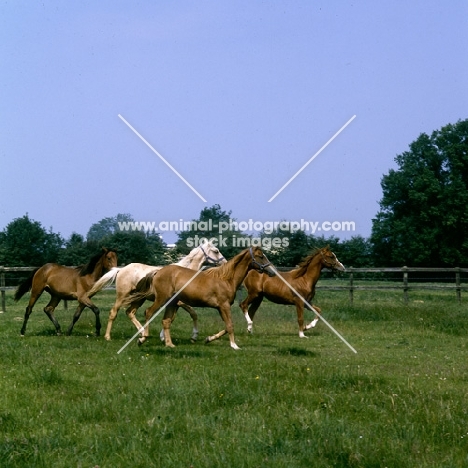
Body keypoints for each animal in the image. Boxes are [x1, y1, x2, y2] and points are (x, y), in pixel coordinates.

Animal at [88, 241, 229, 340]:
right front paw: (193, 336)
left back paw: (142, 333)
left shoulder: (175, 303)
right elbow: (192, 314)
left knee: (130, 312)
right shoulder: (181, 302)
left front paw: (163, 337)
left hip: (139, 298)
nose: (225, 263)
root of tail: (121, 269)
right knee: (114, 312)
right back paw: (108, 337)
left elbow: (171, 318)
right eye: (216, 251)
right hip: (122, 296)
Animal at [126, 247, 276, 350]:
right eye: (260, 256)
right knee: (149, 312)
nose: (272, 272)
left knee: (166, 321)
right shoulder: (224, 305)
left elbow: (226, 326)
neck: (226, 279)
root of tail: (158, 272)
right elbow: (230, 325)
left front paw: (208, 339)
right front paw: (234, 346)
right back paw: (142, 338)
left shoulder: (220, 308)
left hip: (172, 303)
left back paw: (169, 344)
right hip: (162, 299)